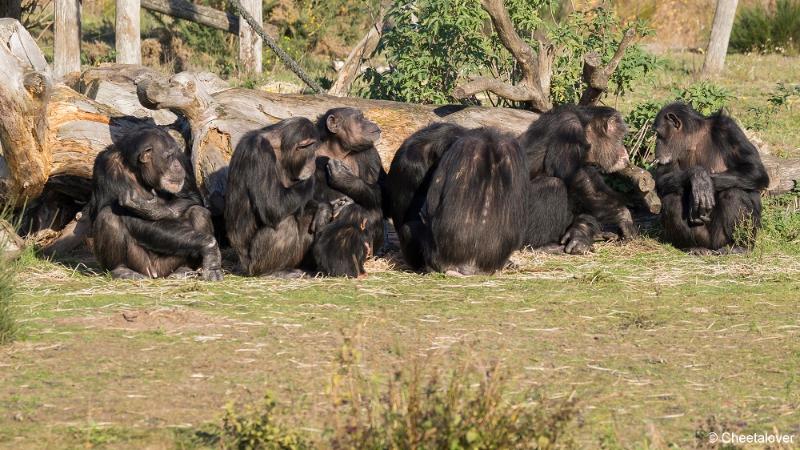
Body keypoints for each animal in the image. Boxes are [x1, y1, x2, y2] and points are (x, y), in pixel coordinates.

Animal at [89, 126, 223, 280]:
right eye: (169, 156)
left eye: (175, 155)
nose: (177, 165)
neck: (137, 170)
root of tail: (158, 275)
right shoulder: (108, 166)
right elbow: (129, 216)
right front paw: (209, 247)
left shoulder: (183, 159)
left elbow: (192, 198)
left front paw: (152, 209)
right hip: (143, 266)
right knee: (108, 215)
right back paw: (121, 270)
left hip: (169, 265)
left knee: (198, 212)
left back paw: (184, 269)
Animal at [223, 118, 320, 276]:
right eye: (313, 151)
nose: (314, 161)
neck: (281, 149)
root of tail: (241, 267)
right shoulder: (258, 151)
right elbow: (273, 205)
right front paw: (312, 179)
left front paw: (324, 209)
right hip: (254, 264)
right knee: (285, 223)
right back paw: (274, 272)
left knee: (308, 215)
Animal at [310, 108, 386, 278]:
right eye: (359, 118)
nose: (370, 121)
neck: (337, 150)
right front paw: (323, 211)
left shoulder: (369, 154)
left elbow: (379, 193)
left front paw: (344, 178)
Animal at [520, 103, 636, 255]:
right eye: (621, 138)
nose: (624, 150)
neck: (585, 128)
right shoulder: (568, 129)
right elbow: (575, 177)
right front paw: (624, 216)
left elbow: (587, 187)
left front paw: (580, 233)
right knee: (552, 185)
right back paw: (541, 246)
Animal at [652, 103, 772, 255]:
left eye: (658, 134)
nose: (656, 144)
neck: (693, 140)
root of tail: (713, 247)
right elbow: (663, 178)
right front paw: (697, 176)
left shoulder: (728, 128)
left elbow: (754, 169)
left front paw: (705, 184)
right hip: (703, 237)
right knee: (672, 198)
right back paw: (694, 247)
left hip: (723, 238)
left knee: (734, 193)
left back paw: (739, 247)